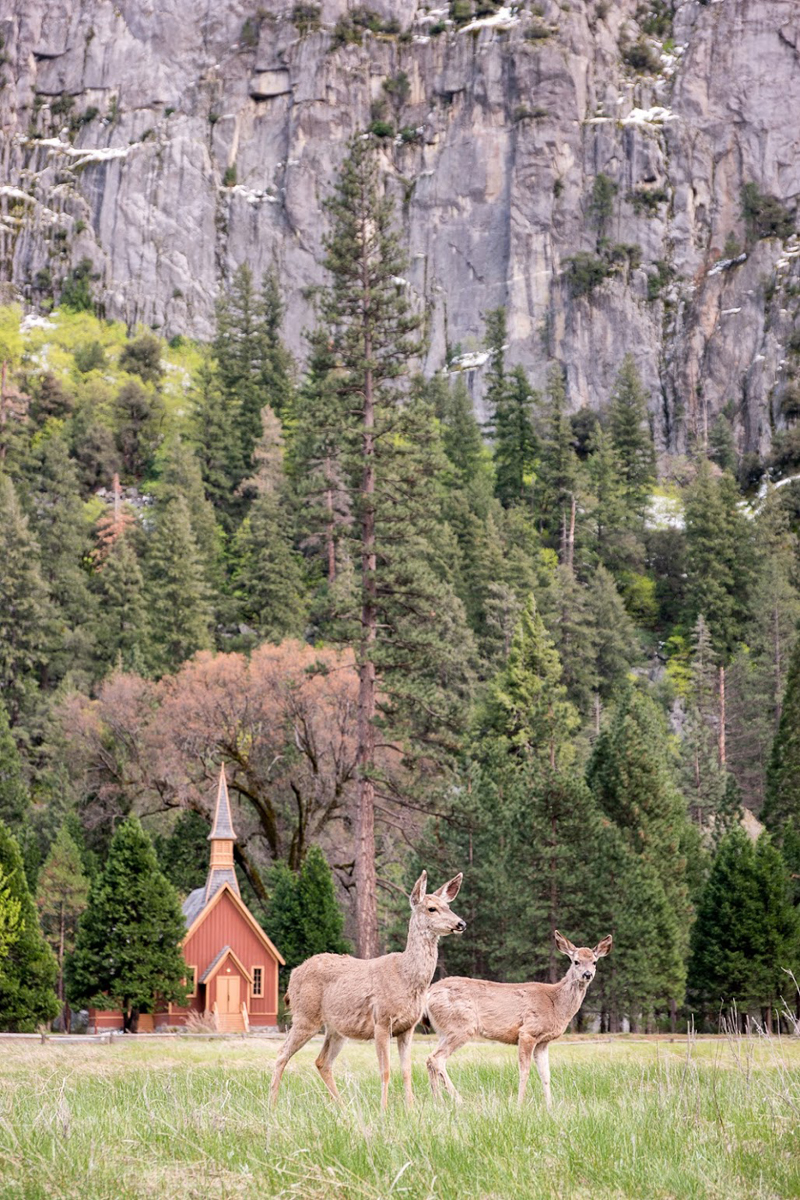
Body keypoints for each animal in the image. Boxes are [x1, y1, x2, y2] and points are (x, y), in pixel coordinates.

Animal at [272, 868, 465, 1108]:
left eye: (448, 906)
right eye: (432, 908)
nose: (461, 923)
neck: (406, 977)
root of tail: (294, 975)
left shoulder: (408, 1027)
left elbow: (407, 1070)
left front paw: (410, 1108)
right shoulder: (381, 1021)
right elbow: (385, 1070)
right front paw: (384, 1109)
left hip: (336, 1029)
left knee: (321, 1061)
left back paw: (342, 1107)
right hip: (305, 1016)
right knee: (281, 1055)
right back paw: (272, 1105)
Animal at [424, 931, 614, 1108]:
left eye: (594, 962)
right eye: (576, 961)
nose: (587, 974)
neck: (556, 1004)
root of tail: (429, 993)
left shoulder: (543, 1042)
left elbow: (546, 1074)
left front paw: (550, 1106)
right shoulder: (528, 1032)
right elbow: (525, 1070)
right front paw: (519, 1104)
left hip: (444, 1030)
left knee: (429, 1059)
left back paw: (438, 1101)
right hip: (461, 1025)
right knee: (437, 1059)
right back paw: (459, 1101)